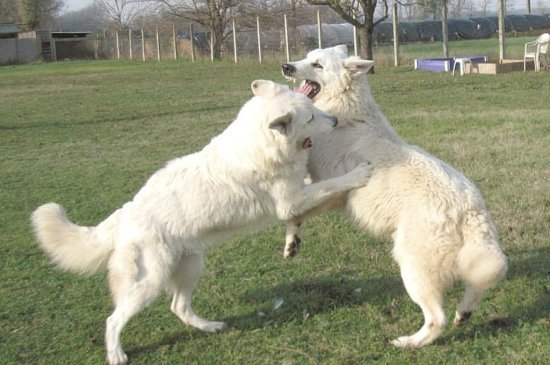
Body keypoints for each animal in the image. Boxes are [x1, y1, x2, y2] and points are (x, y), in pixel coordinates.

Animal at [31, 80, 376, 364]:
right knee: (114, 320)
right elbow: (330, 185)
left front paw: (292, 242)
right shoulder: (290, 199)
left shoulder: (295, 195)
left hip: (191, 265)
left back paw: (208, 326)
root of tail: (124, 213)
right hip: (148, 282)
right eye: (312, 118)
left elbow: (302, 209)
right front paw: (359, 173)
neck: (261, 144)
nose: (335, 121)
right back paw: (116, 353)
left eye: (315, 110)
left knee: (178, 307)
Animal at [282, 45, 512, 346]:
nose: (286, 67)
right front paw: (292, 243)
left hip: (413, 268)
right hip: (468, 259)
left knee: (437, 319)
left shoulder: (330, 187)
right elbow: (297, 212)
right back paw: (463, 313)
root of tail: (471, 209)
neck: (345, 111)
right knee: (476, 284)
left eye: (317, 65)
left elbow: (298, 206)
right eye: (306, 57)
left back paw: (409, 343)